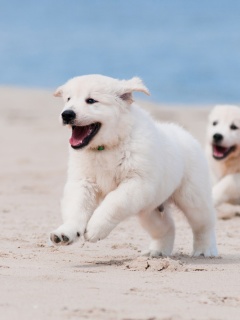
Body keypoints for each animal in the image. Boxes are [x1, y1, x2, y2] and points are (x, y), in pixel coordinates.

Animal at [50, 75, 218, 258]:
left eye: (91, 100)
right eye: (68, 99)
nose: (66, 114)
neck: (107, 148)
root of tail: (185, 133)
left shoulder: (137, 182)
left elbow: (113, 202)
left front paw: (95, 228)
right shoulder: (83, 182)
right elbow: (76, 207)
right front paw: (66, 232)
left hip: (192, 196)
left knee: (204, 223)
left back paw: (205, 250)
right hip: (149, 210)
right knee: (167, 227)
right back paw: (157, 252)